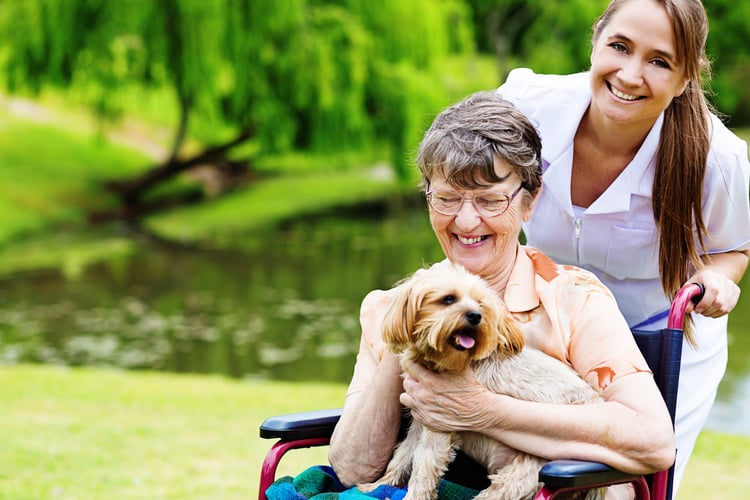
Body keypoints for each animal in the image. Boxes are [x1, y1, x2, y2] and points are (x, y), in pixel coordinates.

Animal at [360, 262, 604, 500]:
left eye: (480, 304)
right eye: (449, 298)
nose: (475, 316)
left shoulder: (440, 424)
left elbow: (423, 470)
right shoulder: (420, 421)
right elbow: (403, 454)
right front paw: (377, 485)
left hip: (517, 480)